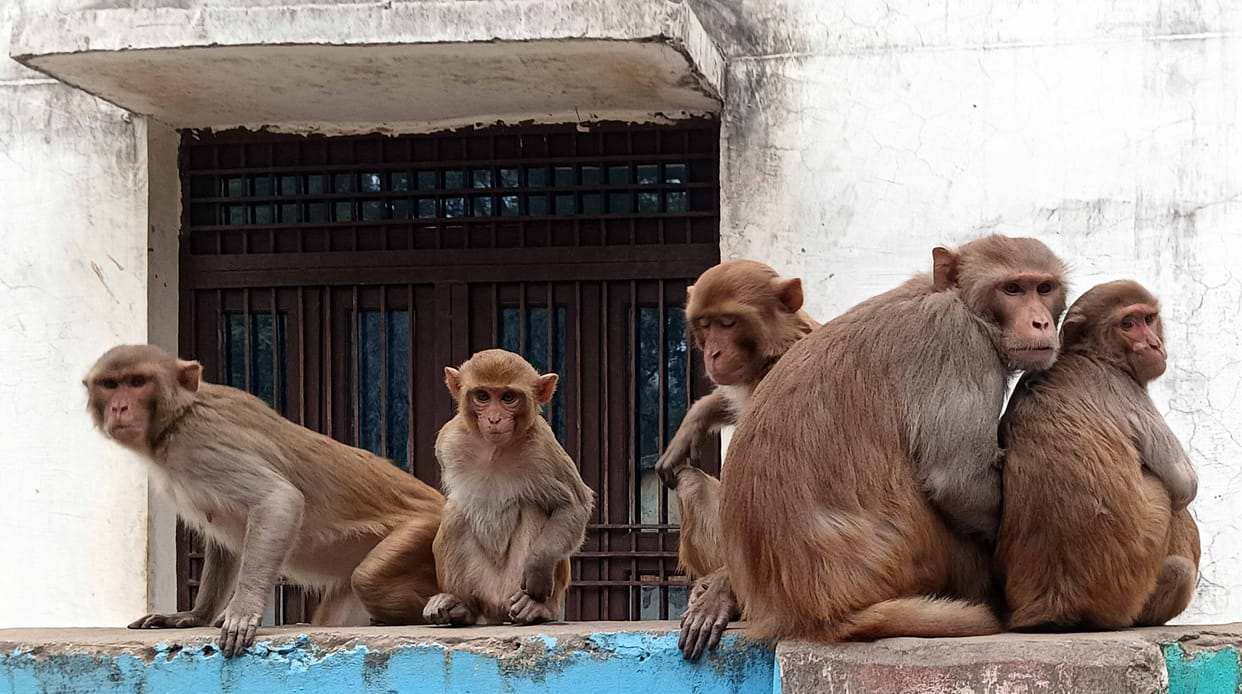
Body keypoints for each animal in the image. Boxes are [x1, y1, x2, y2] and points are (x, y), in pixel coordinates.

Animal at [84, 344, 444, 656]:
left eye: (137, 382)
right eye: (110, 385)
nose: (119, 407)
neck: (178, 417)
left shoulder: (200, 446)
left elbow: (278, 499)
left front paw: (243, 610)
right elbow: (223, 542)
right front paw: (194, 615)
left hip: (428, 530)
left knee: (366, 580)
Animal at [423, 349, 595, 626]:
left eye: (508, 397)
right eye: (483, 396)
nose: (494, 419)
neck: (494, 450)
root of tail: (497, 609)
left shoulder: (543, 447)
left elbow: (573, 505)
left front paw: (538, 566)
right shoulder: (448, 440)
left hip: (514, 586)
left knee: (534, 507)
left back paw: (536, 608)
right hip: (483, 590)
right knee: (456, 513)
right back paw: (460, 608)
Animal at [649, 260, 817, 660]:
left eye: (728, 323)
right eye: (706, 325)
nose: (712, 354)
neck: (769, 360)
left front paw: (721, 592)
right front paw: (693, 423)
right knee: (690, 481)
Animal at [687, 234, 1068, 655]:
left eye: (1044, 288)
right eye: (1012, 288)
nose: (1040, 322)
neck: (956, 299)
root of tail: (811, 610)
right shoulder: (959, 342)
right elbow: (956, 480)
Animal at [996, 280, 1200, 630]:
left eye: (1148, 319)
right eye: (1127, 324)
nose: (1153, 344)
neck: (1089, 354)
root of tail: (1055, 603)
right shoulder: (1124, 388)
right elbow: (1184, 484)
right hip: (1130, 593)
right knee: (1178, 561)